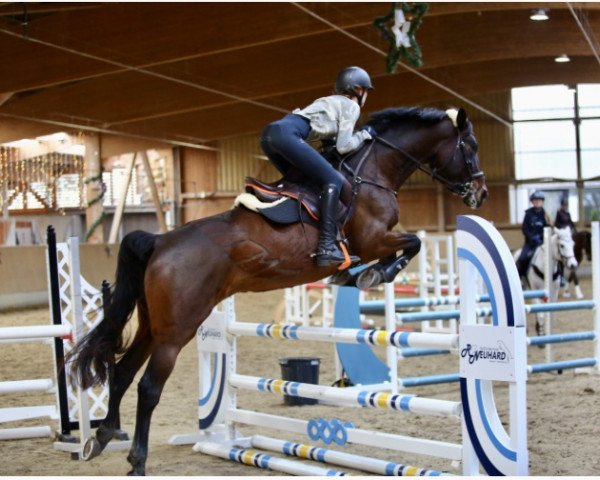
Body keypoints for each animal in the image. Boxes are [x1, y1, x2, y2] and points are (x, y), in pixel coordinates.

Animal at [68, 106, 488, 476]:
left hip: (152, 324)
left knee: (122, 372)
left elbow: (402, 248)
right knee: (149, 387)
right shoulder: (374, 239)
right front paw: (373, 275)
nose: (480, 194)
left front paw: (355, 276)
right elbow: (412, 243)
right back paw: (136, 461)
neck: (372, 171)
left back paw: (103, 436)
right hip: (177, 329)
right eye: (471, 145)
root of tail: (160, 240)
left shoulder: (375, 241)